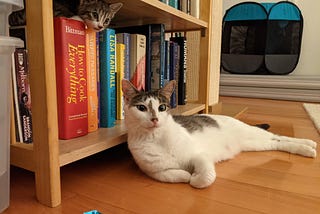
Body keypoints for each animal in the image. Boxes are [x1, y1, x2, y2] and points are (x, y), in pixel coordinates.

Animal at [122, 79, 318, 188]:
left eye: (162, 108)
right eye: (141, 108)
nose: (155, 119)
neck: (157, 139)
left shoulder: (200, 156)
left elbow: (207, 176)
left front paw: (195, 179)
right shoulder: (155, 172)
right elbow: (175, 175)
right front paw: (188, 175)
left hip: (254, 134)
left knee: (279, 136)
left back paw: (309, 144)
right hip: (255, 144)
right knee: (277, 142)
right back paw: (307, 149)